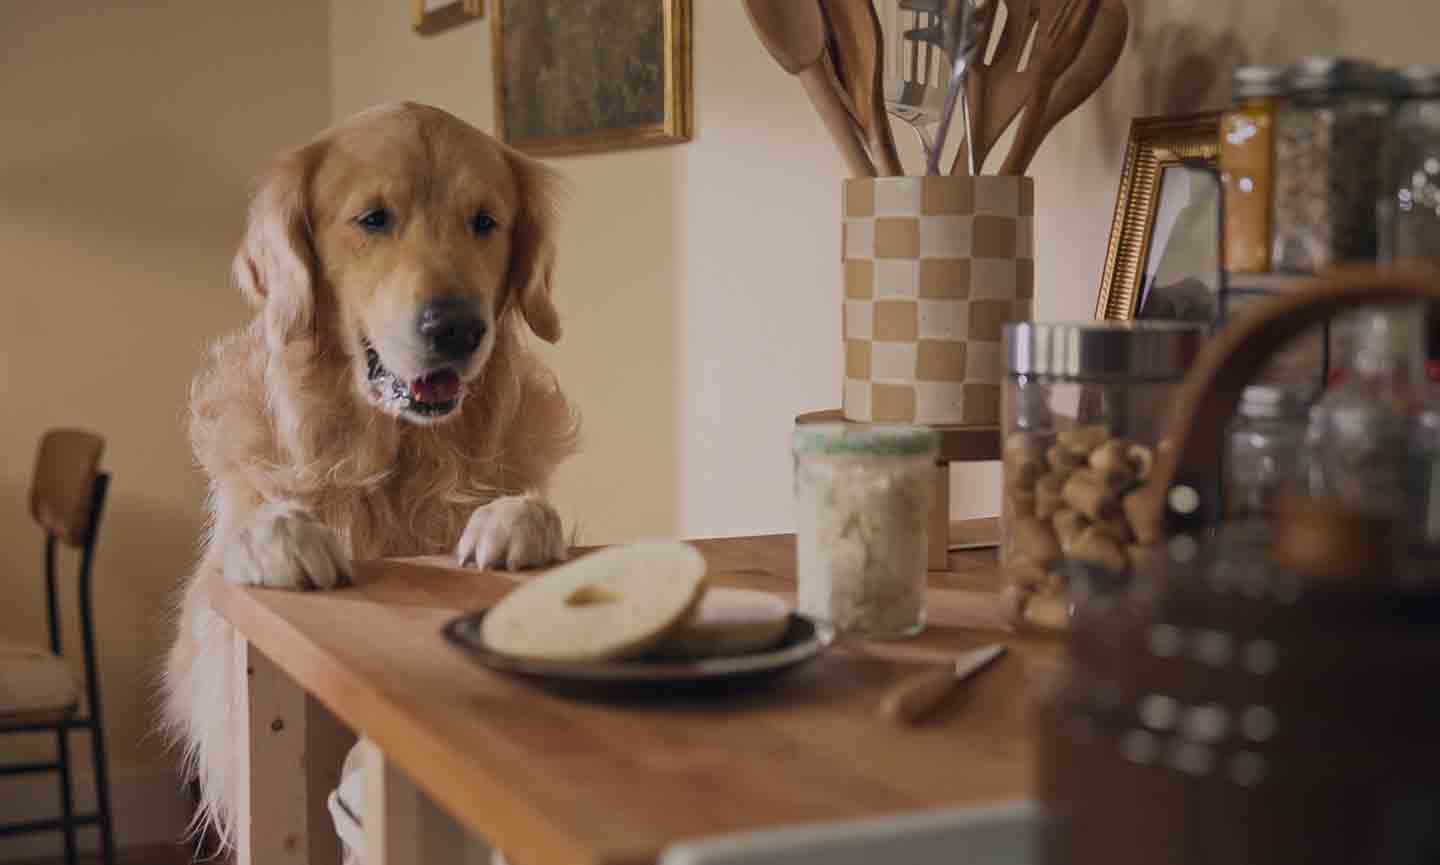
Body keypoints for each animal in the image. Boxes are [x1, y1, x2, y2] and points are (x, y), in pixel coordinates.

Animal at [162, 102, 573, 852]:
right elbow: (254, 531)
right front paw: (283, 538)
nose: (456, 328)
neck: (395, 467)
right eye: (374, 218)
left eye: (485, 221)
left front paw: (515, 521)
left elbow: (528, 507)